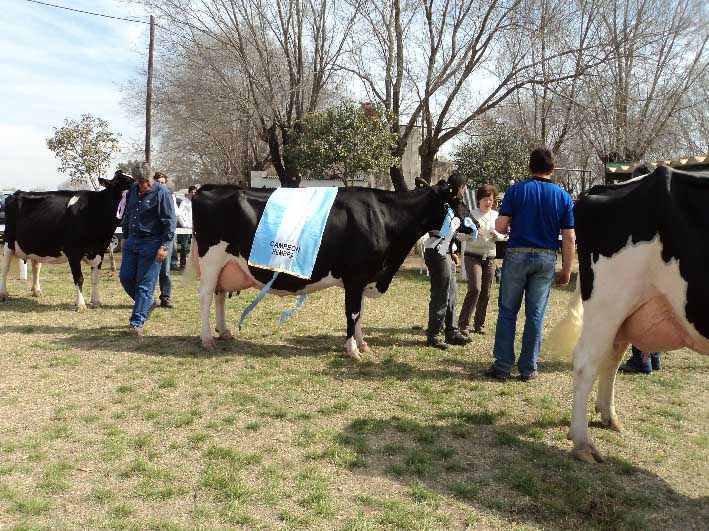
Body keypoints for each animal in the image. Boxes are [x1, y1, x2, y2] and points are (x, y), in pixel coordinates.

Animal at [0, 170, 135, 312]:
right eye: (125, 183)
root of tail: (16, 193)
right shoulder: (73, 251)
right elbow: (79, 278)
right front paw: (81, 304)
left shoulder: (100, 251)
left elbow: (95, 278)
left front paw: (96, 301)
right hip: (8, 241)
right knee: (5, 268)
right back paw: (3, 294)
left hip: (35, 243)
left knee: (36, 266)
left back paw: (36, 291)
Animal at [188, 181, 470, 360]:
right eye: (457, 200)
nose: (474, 225)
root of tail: (208, 188)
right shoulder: (355, 277)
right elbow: (353, 313)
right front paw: (352, 349)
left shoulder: (364, 278)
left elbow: (361, 313)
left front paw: (363, 344)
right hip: (211, 259)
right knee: (205, 296)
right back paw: (207, 339)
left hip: (226, 265)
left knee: (219, 295)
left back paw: (224, 332)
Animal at [548, 167, 708, 466]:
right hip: (610, 299)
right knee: (587, 361)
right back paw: (583, 443)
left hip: (626, 309)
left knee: (611, 355)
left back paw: (608, 416)